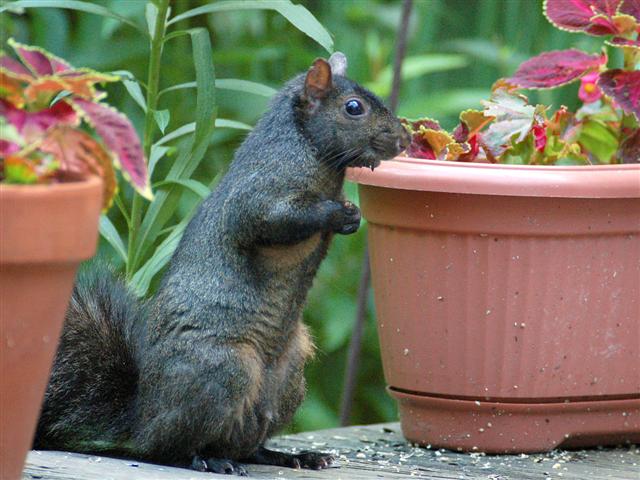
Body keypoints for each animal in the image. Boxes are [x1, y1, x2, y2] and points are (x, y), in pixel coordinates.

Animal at [35, 53, 412, 476]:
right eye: (353, 107)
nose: (404, 140)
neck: (310, 149)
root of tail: (141, 421)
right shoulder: (259, 191)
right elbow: (271, 221)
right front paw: (339, 212)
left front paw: (353, 217)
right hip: (226, 370)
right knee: (173, 449)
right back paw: (208, 459)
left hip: (289, 377)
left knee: (248, 445)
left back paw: (293, 456)